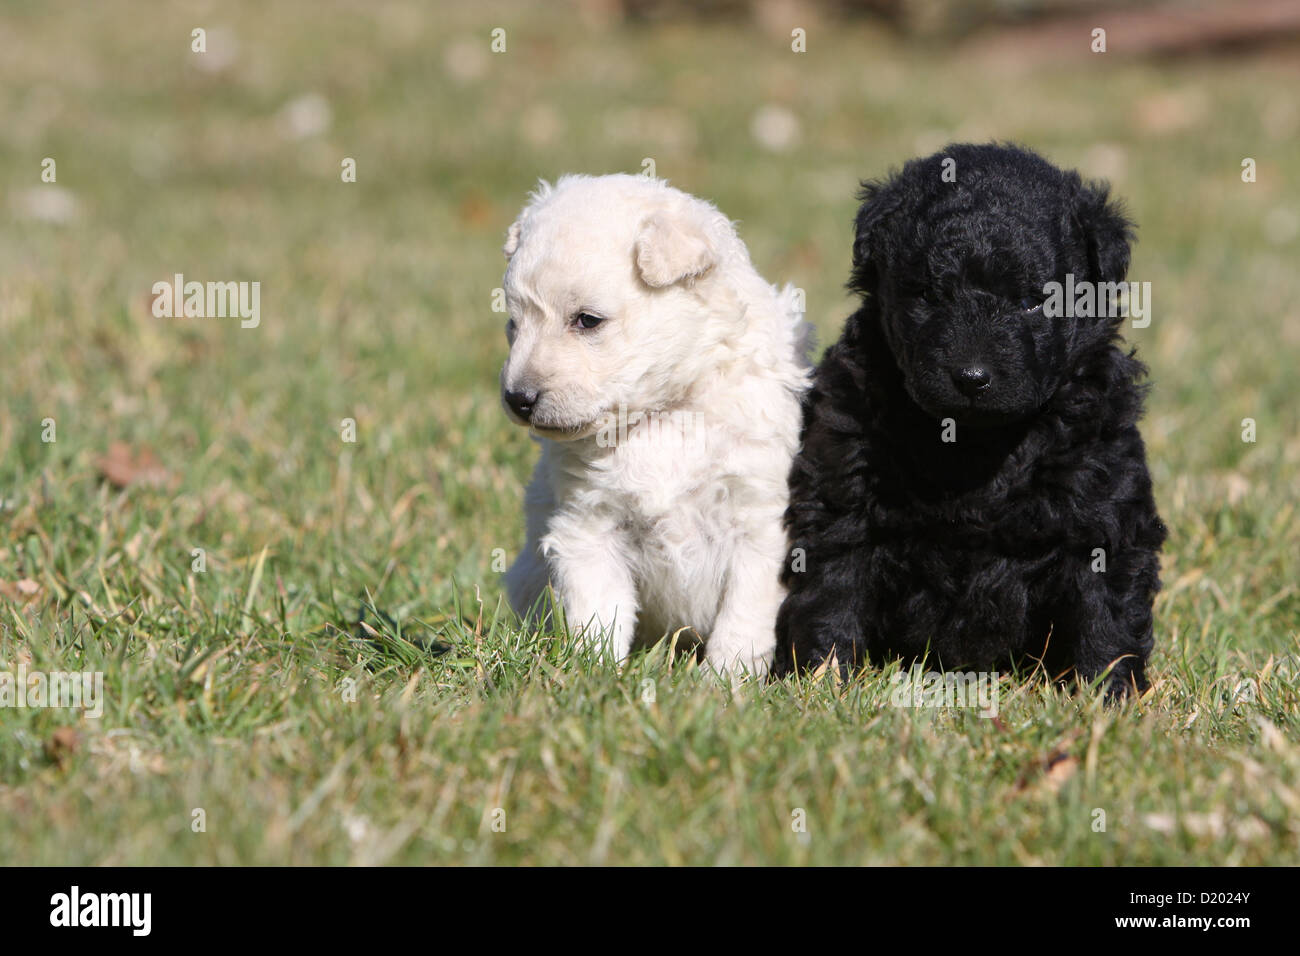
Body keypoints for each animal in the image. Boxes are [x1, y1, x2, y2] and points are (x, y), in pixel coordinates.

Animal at [501, 175, 806, 676]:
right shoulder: (589, 523)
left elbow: (743, 615)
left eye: (587, 320)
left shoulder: (761, 521)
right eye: (513, 323)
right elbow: (599, 608)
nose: (517, 399)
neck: (663, 414)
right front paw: (593, 673)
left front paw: (725, 680)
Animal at [769, 143, 1170, 697]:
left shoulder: (1103, 502)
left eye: (1034, 301)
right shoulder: (845, 487)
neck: (977, 445)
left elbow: (1105, 610)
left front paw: (1109, 696)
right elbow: (833, 589)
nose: (972, 377)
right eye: (930, 295)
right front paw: (819, 682)